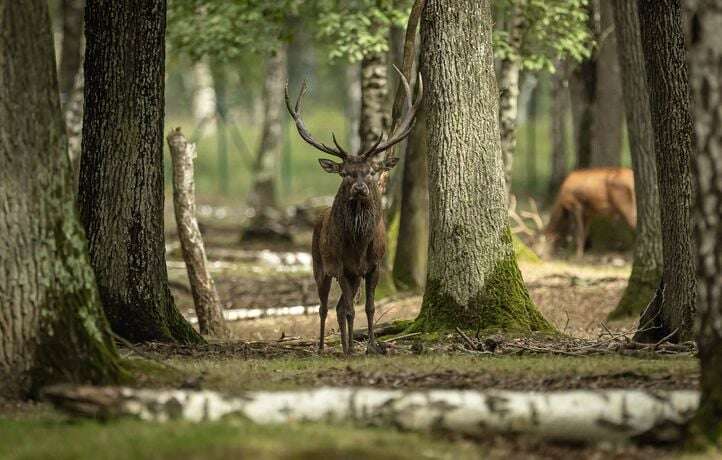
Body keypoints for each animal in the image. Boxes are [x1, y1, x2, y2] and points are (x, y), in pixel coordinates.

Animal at [286, 64, 422, 354]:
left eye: (371, 171)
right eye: (345, 173)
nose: (359, 188)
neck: (358, 245)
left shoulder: (373, 266)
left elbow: (368, 308)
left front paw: (372, 346)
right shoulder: (341, 267)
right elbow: (349, 309)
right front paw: (352, 349)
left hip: (353, 275)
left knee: (338, 307)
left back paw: (345, 345)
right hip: (319, 265)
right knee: (324, 307)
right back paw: (324, 347)